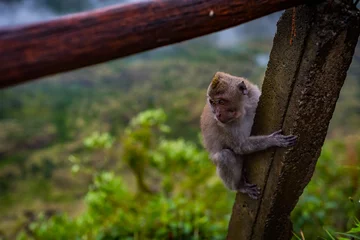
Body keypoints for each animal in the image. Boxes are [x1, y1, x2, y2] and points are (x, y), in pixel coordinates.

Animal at [201, 71, 296, 199]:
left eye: (221, 102)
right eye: (212, 102)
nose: (217, 113)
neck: (242, 110)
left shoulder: (254, 96)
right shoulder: (223, 126)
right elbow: (240, 146)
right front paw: (273, 140)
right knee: (224, 156)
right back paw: (239, 186)